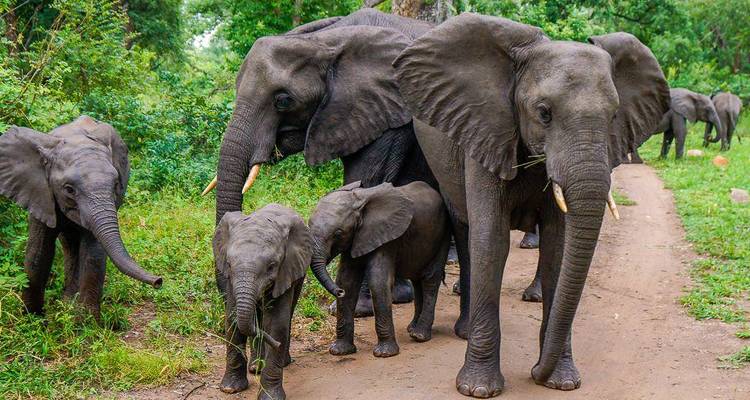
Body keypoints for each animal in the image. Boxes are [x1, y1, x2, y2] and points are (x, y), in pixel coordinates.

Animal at [0, 116, 162, 319]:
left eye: (116, 184)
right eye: (69, 189)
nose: (159, 281)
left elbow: (93, 253)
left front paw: (87, 322)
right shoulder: (39, 193)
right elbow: (38, 253)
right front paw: (32, 318)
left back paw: (69, 305)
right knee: (68, 244)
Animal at [213, 204, 312, 399]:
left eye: (272, 266)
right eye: (229, 264)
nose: (276, 344)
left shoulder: (285, 270)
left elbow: (276, 324)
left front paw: (270, 397)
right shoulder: (231, 279)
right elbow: (232, 317)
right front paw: (230, 389)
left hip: (299, 272)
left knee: (284, 315)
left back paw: (281, 361)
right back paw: (256, 367)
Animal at [308, 181, 450, 357]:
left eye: (338, 233)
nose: (339, 292)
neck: (360, 201)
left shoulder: (387, 238)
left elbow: (378, 281)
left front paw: (385, 354)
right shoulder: (357, 238)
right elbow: (347, 280)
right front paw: (339, 351)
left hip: (443, 235)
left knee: (430, 279)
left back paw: (420, 335)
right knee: (418, 280)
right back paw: (412, 329)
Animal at [393, 13, 669, 397]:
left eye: (614, 116)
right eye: (544, 113)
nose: (536, 371)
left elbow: (559, 244)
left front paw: (562, 382)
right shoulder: (487, 128)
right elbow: (491, 241)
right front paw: (478, 390)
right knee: (465, 230)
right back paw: (464, 330)